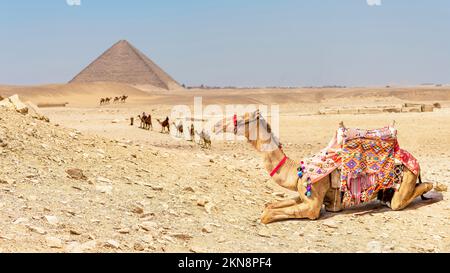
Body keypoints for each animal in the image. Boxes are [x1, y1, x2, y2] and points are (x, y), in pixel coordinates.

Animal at [214, 110, 432, 223]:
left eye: (242, 119)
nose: (217, 125)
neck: (296, 170)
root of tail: (414, 160)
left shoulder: (312, 206)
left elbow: (266, 215)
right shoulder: (303, 194)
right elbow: (270, 205)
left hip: (406, 180)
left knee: (408, 196)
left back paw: (434, 188)